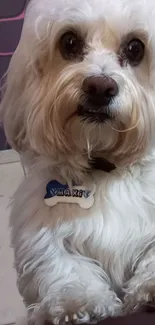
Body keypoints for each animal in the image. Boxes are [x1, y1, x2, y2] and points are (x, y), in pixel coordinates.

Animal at [0, 0, 155, 322]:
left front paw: (149, 291)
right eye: (69, 42)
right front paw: (76, 302)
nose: (100, 87)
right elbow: (64, 267)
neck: (105, 168)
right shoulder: (43, 233)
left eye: (135, 48)